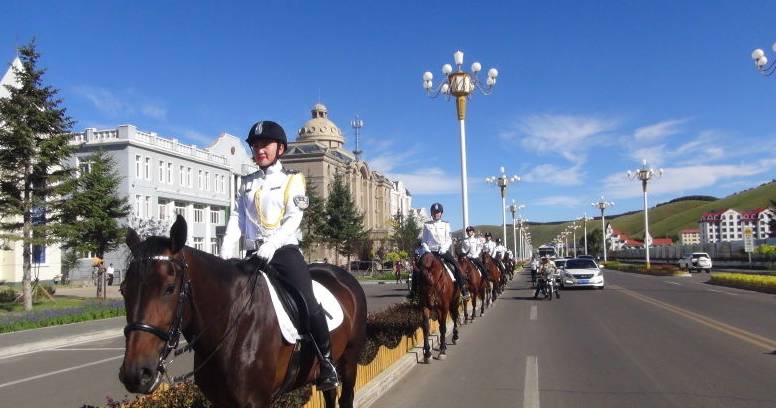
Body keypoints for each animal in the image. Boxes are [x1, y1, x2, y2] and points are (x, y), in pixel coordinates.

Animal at [118, 215, 366, 406]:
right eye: (123, 289)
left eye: (169, 288)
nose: (135, 373)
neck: (231, 325)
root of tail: (341, 274)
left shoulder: (256, 401)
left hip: (349, 359)